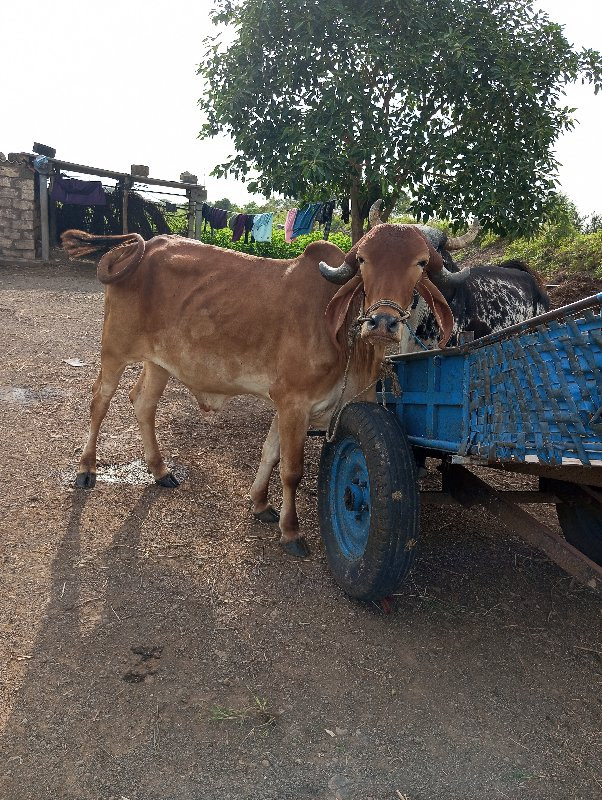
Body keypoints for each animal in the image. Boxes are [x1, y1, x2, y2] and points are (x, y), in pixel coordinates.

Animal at [64, 225, 450, 556]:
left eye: (420, 263)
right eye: (364, 260)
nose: (383, 323)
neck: (345, 337)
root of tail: (142, 245)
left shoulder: (290, 404)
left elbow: (270, 453)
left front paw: (261, 504)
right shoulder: (294, 402)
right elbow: (291, 470)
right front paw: (291, 532)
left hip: (160, 362)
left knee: (142, 404)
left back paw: (160, 471)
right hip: (114, 349)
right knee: (99, 401)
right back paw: (86, 468)